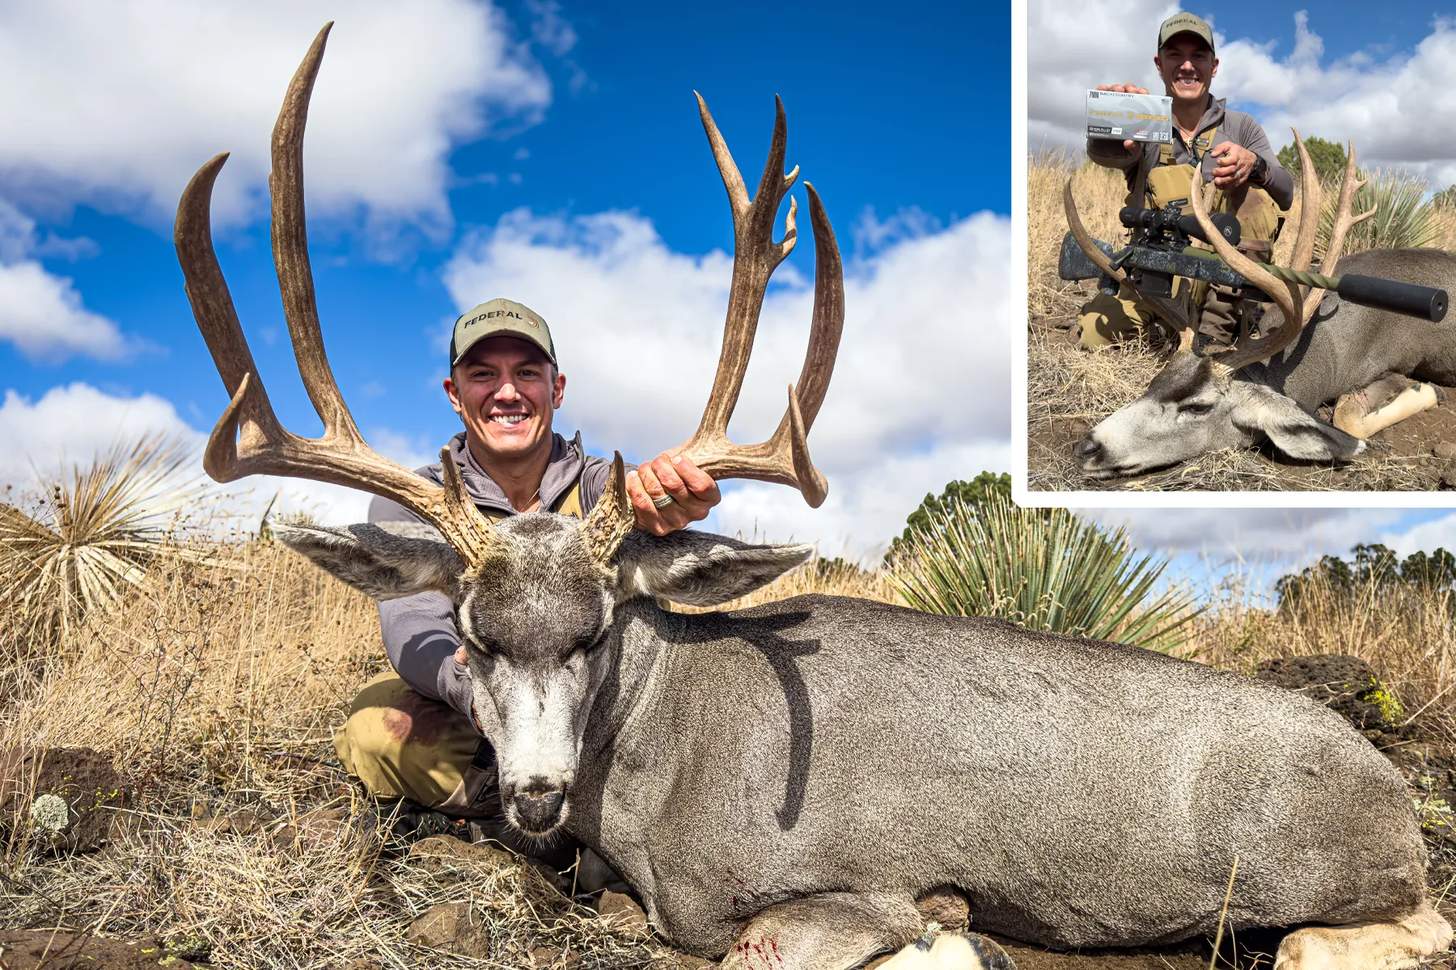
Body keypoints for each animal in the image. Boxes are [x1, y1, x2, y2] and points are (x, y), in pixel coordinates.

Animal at [1067, 134, 1456, 481]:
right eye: (1154, 382)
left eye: (1198, 407)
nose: (1088, 446)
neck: (1330, 352)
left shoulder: (1391, 367)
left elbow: (1347, 418)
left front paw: (1427, 392)